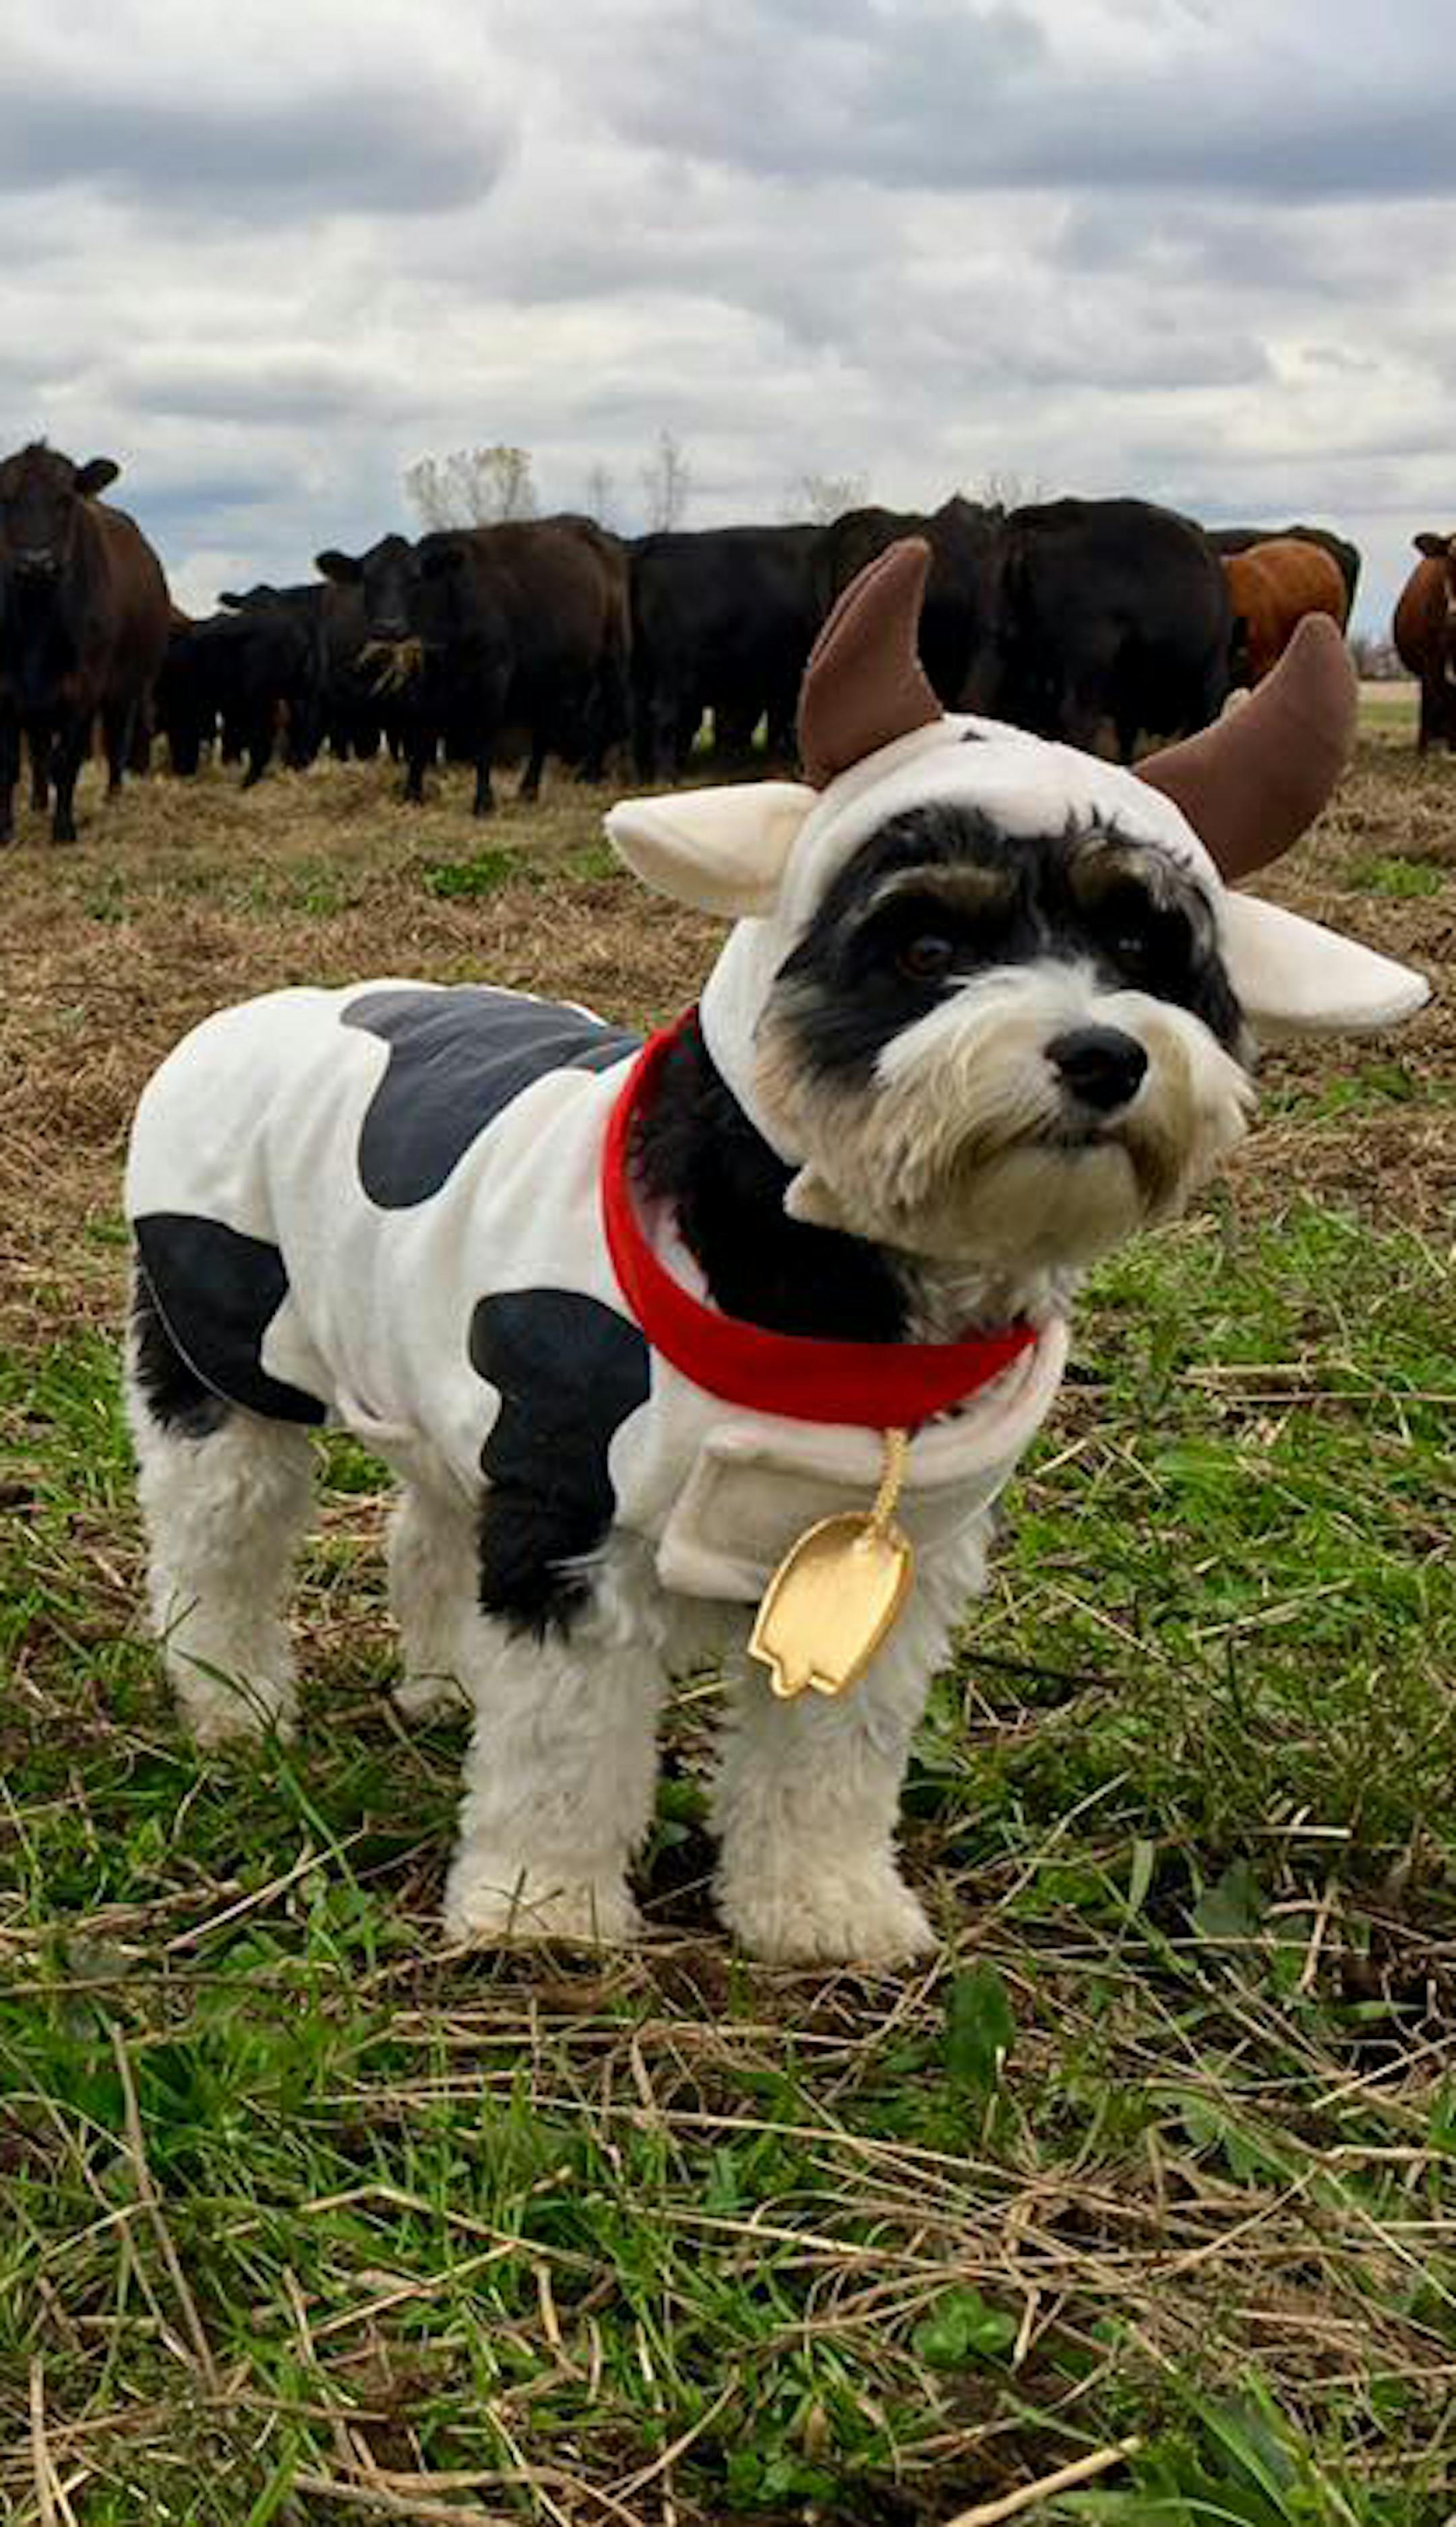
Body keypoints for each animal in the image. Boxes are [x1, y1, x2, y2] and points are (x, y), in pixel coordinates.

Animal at [0, 442, 170, 844]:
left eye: (65, 500)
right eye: (6, 500)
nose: (36, 561)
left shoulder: (85, 687)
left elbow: (68, 760)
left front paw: (64, 829)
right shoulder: (5, 687)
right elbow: (12, 764)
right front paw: (6, 831)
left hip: (129, 686)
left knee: (117, 738)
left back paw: (113, 796)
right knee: (39, 747)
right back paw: (38, 803)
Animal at [317, 518, 630, 814]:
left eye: (415, 579)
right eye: (368, 581)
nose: (388, 627)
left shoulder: (494, 674)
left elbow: (483, 741)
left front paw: (484, 802)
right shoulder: (426, 681)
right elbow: (420, 737)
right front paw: (412, 794)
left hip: (611, 656)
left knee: (607, 713)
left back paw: (589, 775)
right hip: (546, 673)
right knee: (543, 731)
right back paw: (529, 790)